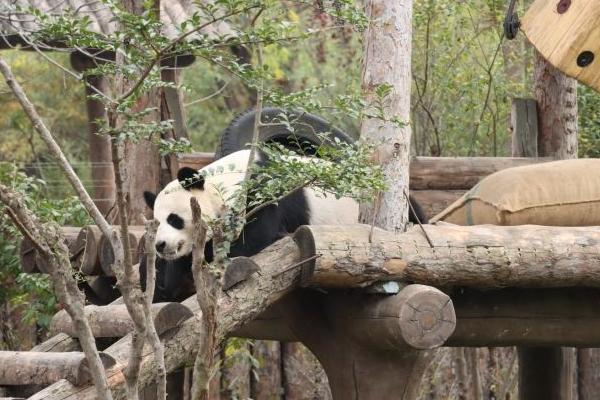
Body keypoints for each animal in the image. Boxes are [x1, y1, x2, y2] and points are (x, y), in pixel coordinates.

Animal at [141, 148, 426, 302]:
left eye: (175, 219)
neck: (223, 183)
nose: (161, 245)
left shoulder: (262, 192)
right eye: (157, 223)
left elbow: (254, 241)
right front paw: (166, 279)